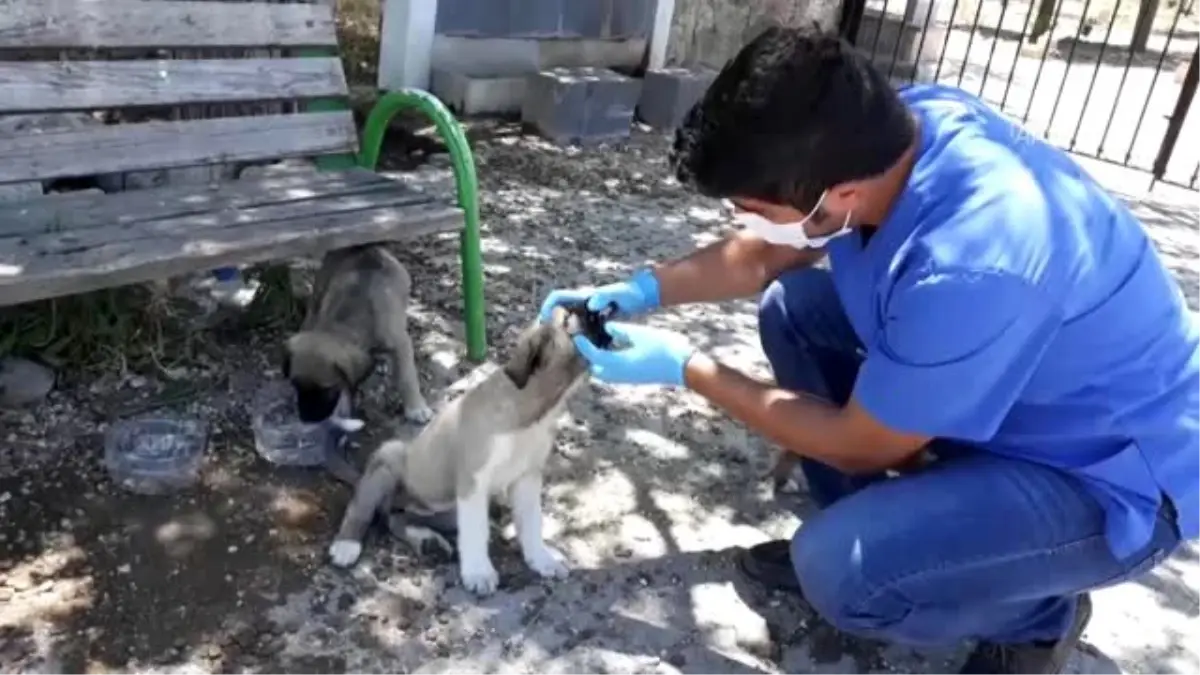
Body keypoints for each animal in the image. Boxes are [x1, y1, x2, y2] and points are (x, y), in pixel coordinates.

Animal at [280, 243, 432, 425]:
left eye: (327, 389)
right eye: (295, 385)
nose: (306, 419)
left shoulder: (401, 344)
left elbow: (407, 377)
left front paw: (416, 408)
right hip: (319, 290)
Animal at [328, 306, 590, 593]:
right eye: (570, 318)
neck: (534, 415)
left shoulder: (526, 478)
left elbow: (531, 523)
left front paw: (541, 559)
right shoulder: (474, 481)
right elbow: (476, 531)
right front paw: (479, 573)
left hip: (451, 510)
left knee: (396, 519)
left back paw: (427, 541)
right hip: (390, 456)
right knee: (363, 509)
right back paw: (346, 545)